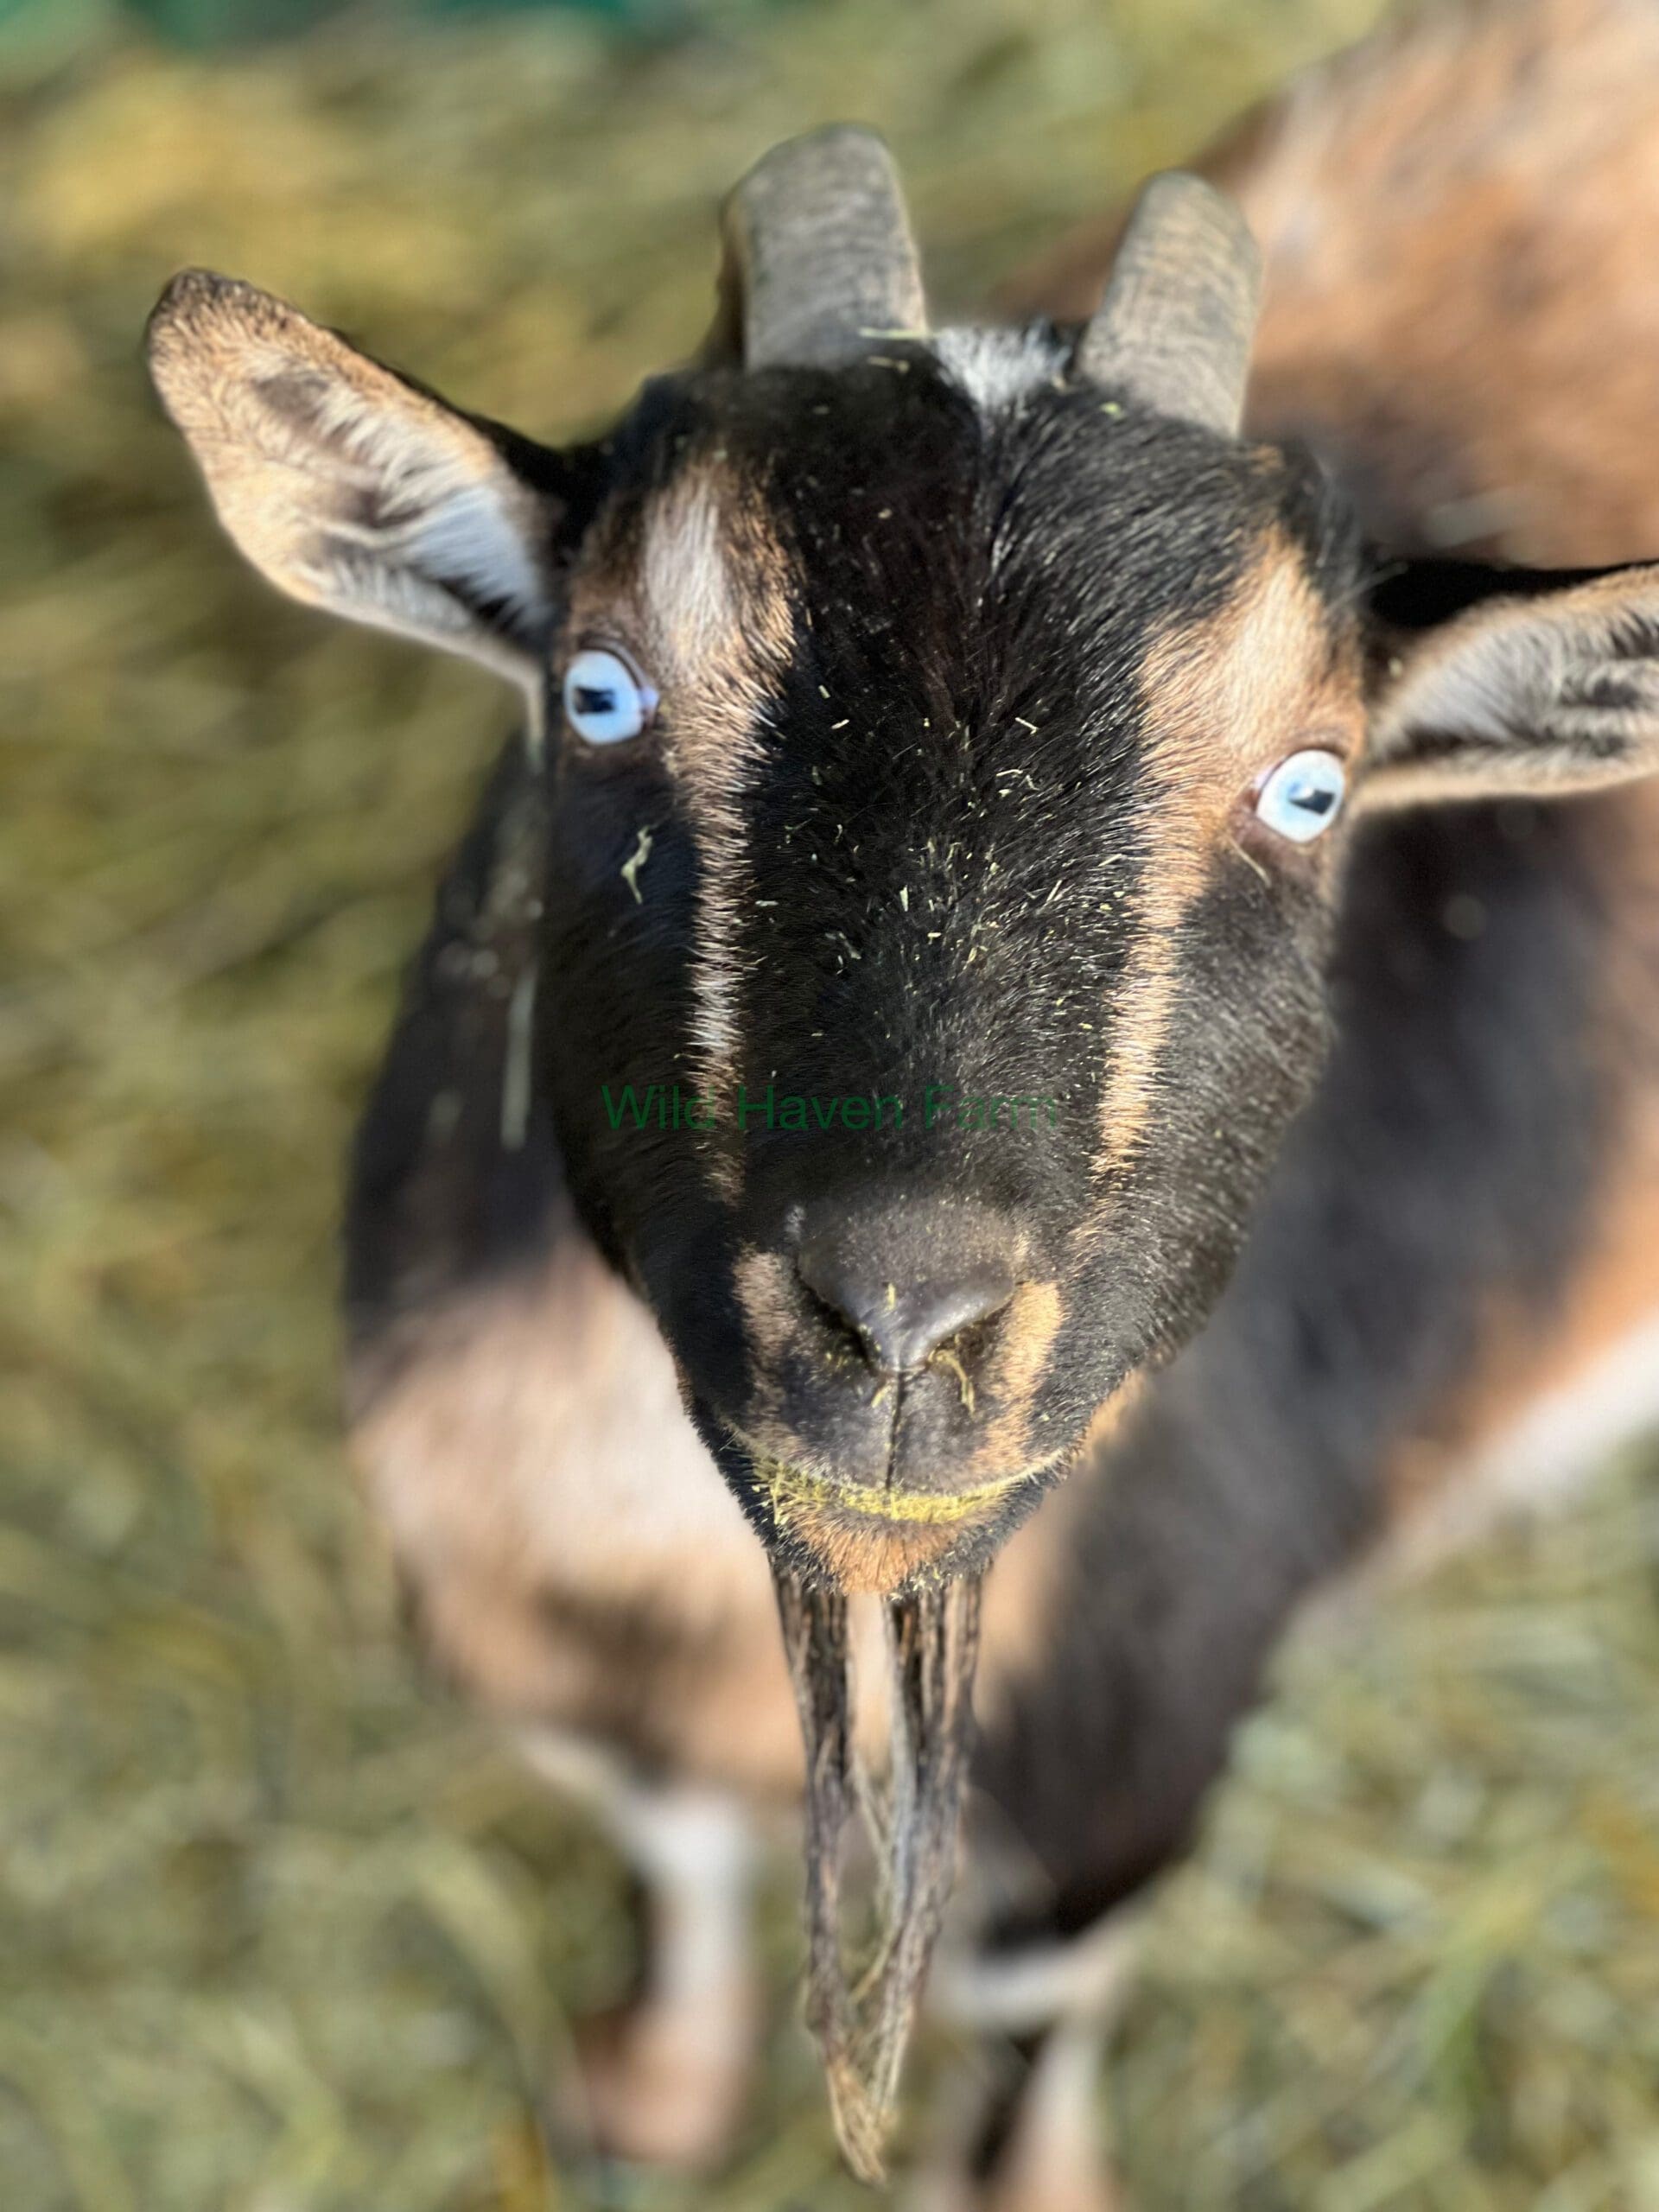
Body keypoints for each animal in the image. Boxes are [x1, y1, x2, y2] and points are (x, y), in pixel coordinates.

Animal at [145, 0, 1659, 2198]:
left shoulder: (1140, 1742)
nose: (904, 1312)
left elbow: (1032, 2001)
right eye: (598, 691)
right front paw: (655, 2091)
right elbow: (676, 1852)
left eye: (1311, 784)